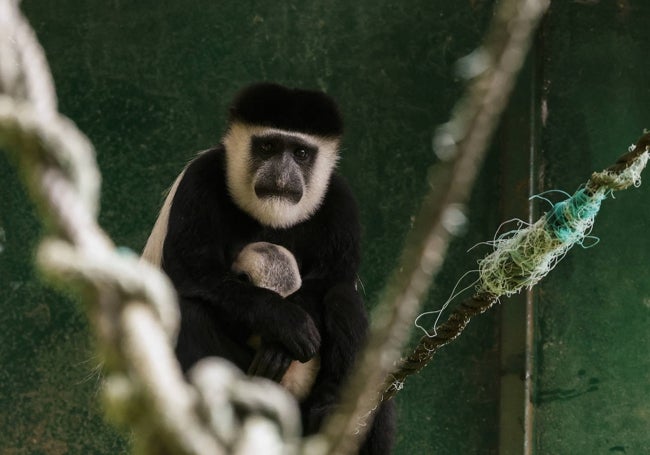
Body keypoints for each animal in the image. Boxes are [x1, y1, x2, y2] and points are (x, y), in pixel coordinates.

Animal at [141, 83, 392, 455]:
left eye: (301, 153)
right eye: (268, 146)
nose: (281, 177)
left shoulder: (341, 200)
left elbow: (335, 277)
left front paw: (283, 342)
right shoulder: (200, 179)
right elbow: (189, 269)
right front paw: (284, 320)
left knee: (342, 298)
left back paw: (331, 414)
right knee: (190, 312)